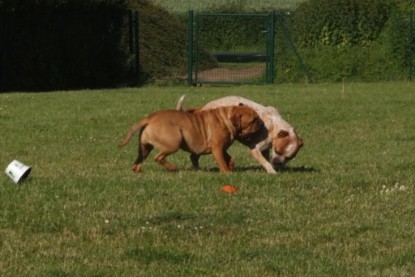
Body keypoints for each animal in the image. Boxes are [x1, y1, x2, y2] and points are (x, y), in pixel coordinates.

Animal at [117, 105, 264, 172]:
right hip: (174, 142)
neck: (227, 118)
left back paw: (137, 170)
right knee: (158, 157)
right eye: (253, 120)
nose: (261, 123)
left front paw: (231, 165)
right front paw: (227, 172)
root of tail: (150, 118)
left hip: (144, 147)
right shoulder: (217, 148)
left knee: (138, 161)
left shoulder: (222, 147)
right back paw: (172, 168)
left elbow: (229, 158)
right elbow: (222, 161)